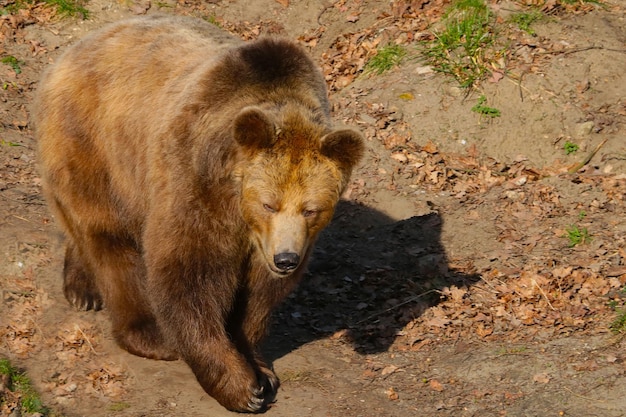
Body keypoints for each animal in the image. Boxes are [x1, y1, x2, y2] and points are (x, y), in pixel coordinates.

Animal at [34, 15, 364, 412]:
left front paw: (259, 369)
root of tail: (76, 47)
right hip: (94, 142)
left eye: (311, 209)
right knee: (108, 236)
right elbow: (188, 274)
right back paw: (144, 331)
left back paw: (83, 286)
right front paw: (240, 387)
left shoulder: (273, 242)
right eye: (269, 203)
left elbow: (257, 296)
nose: (286, 259)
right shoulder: (196, 181)